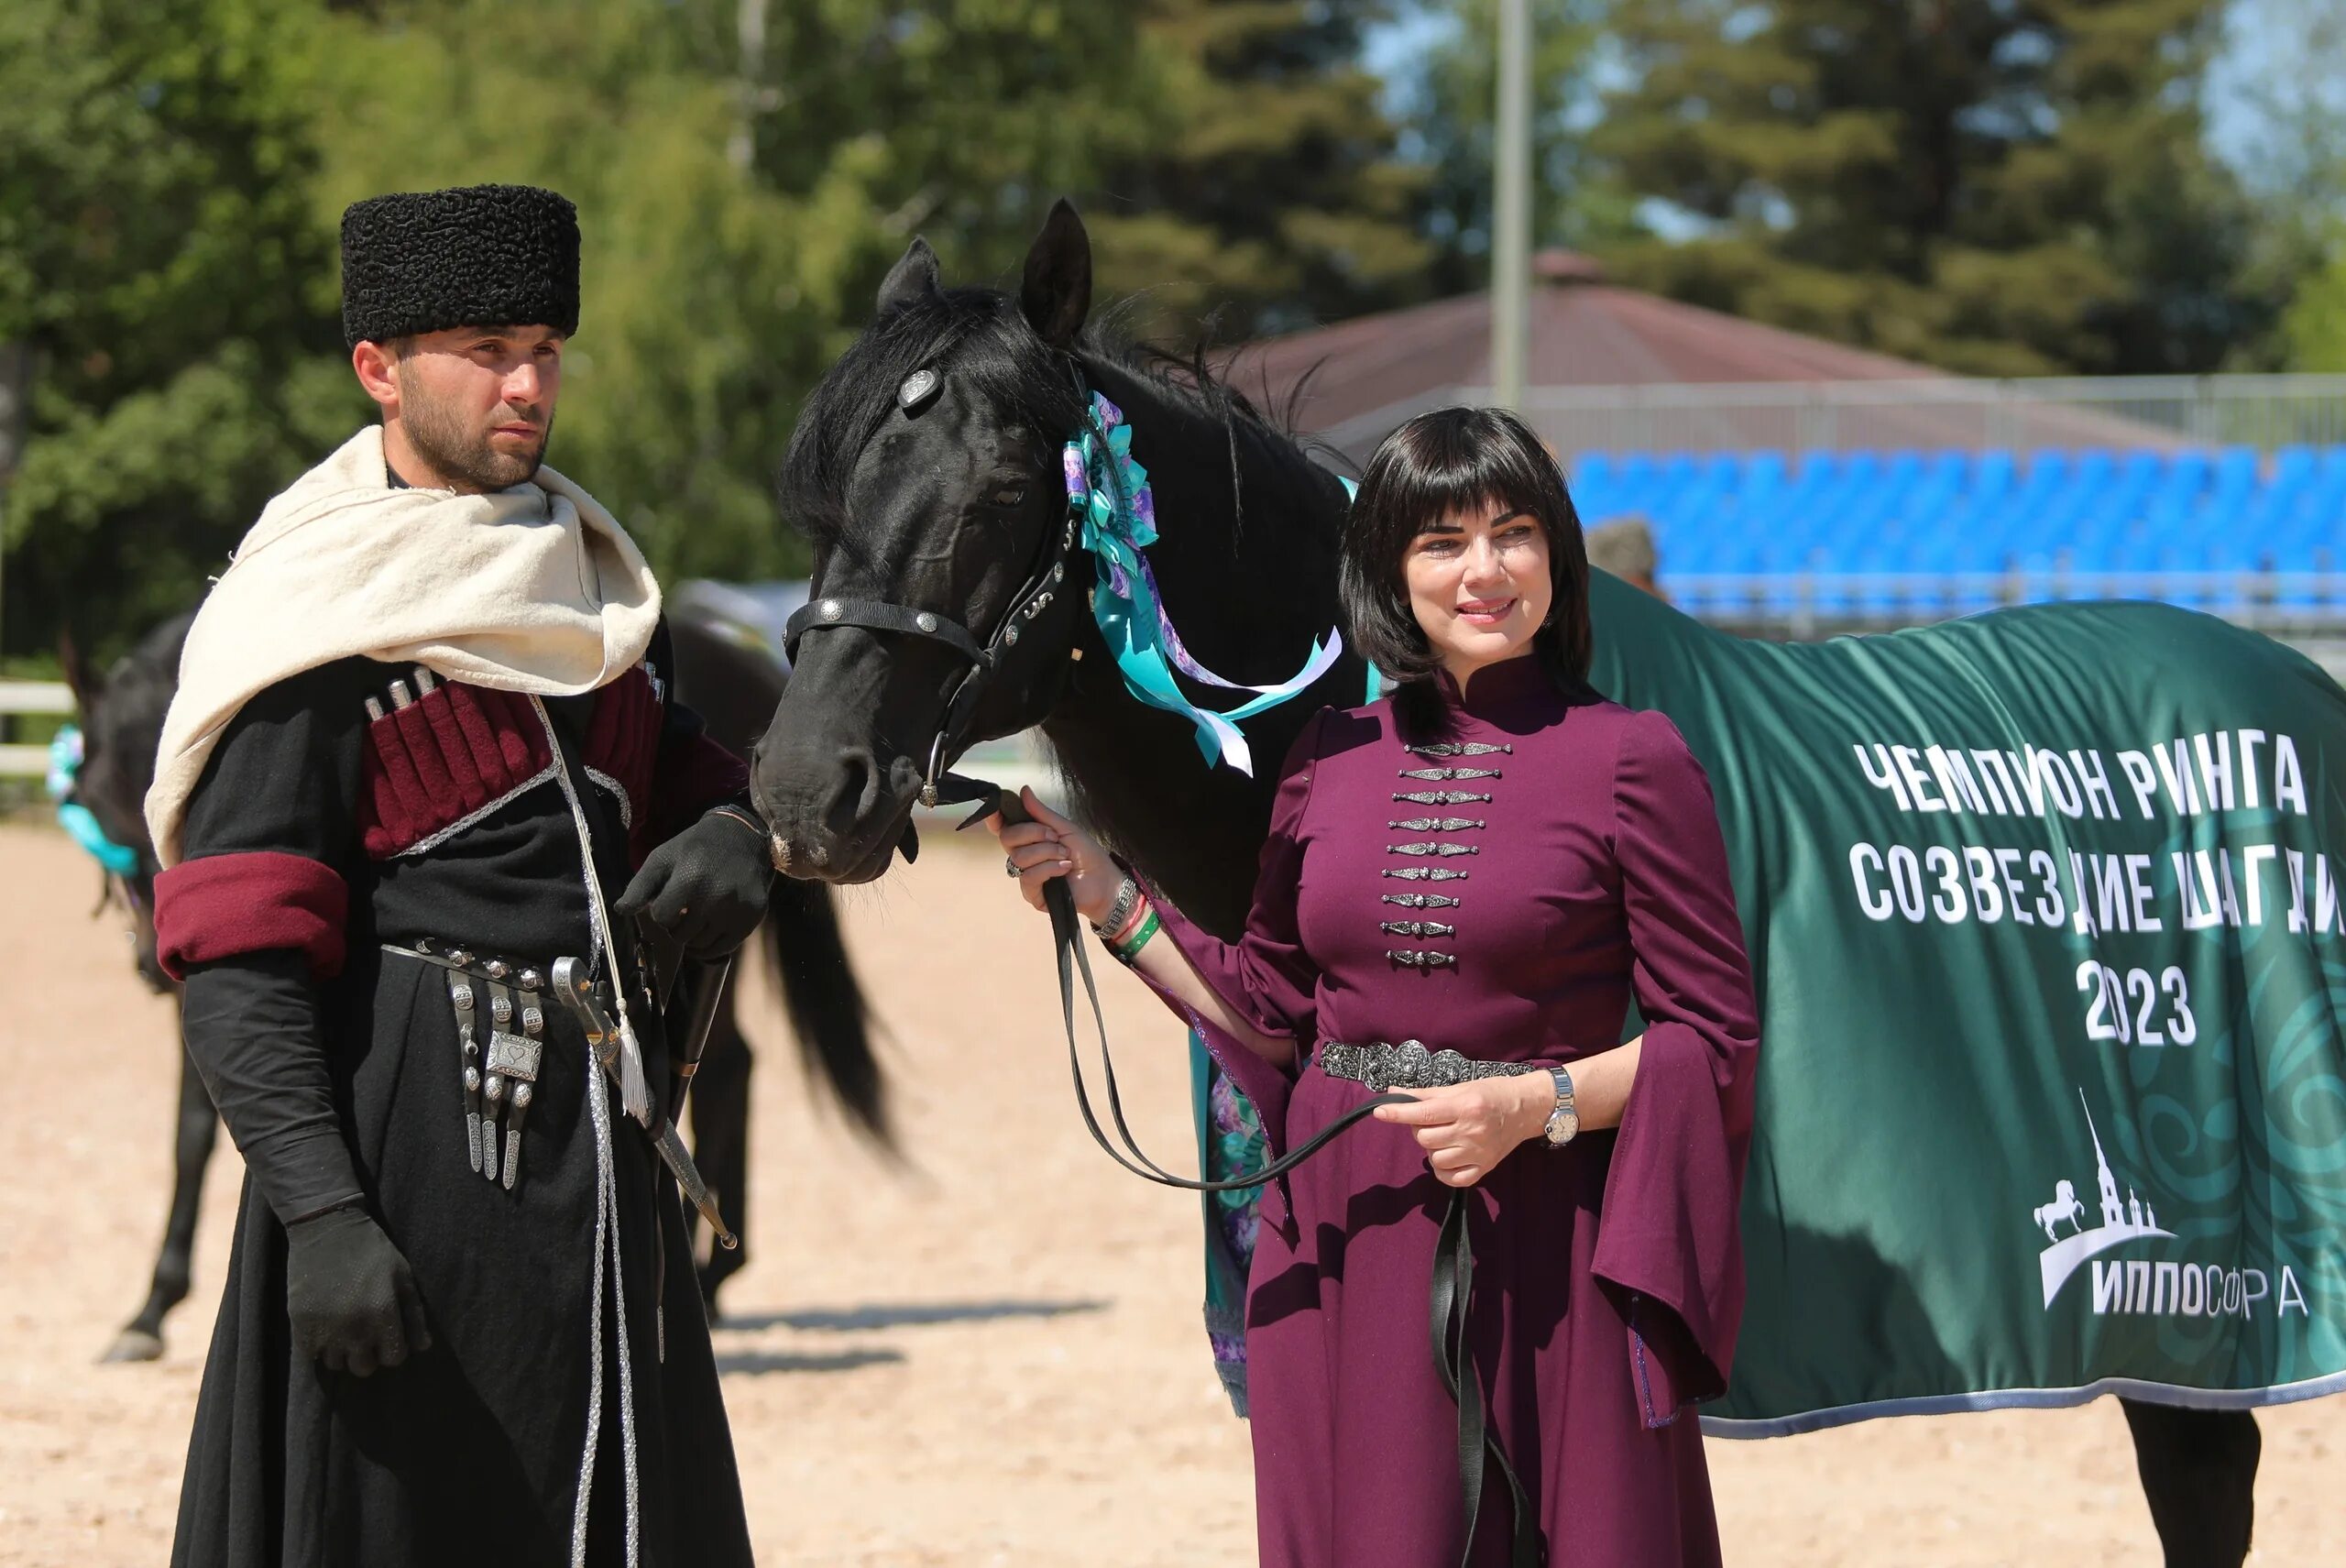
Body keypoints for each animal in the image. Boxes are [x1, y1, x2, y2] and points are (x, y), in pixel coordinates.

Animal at [71, 600, 886, 1361]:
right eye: (97, 805)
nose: (156, 958)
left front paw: (156, 1303)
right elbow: (199, 1129)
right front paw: (151, 1307)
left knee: (719, 1072)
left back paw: (703, 1267)